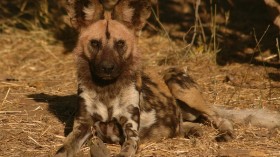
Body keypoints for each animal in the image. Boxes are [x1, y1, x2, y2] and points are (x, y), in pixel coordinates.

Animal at [54, 0, 280, 157]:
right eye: (95, 43)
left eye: (120, 44)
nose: (107, 68)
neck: (107, 89)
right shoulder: (83, 126)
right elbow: (62, 150)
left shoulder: (131, 133)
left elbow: (125, 150)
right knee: (184, 124)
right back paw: (191, 130)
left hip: (177, 83)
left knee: (218, 117)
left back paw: (225, 133)